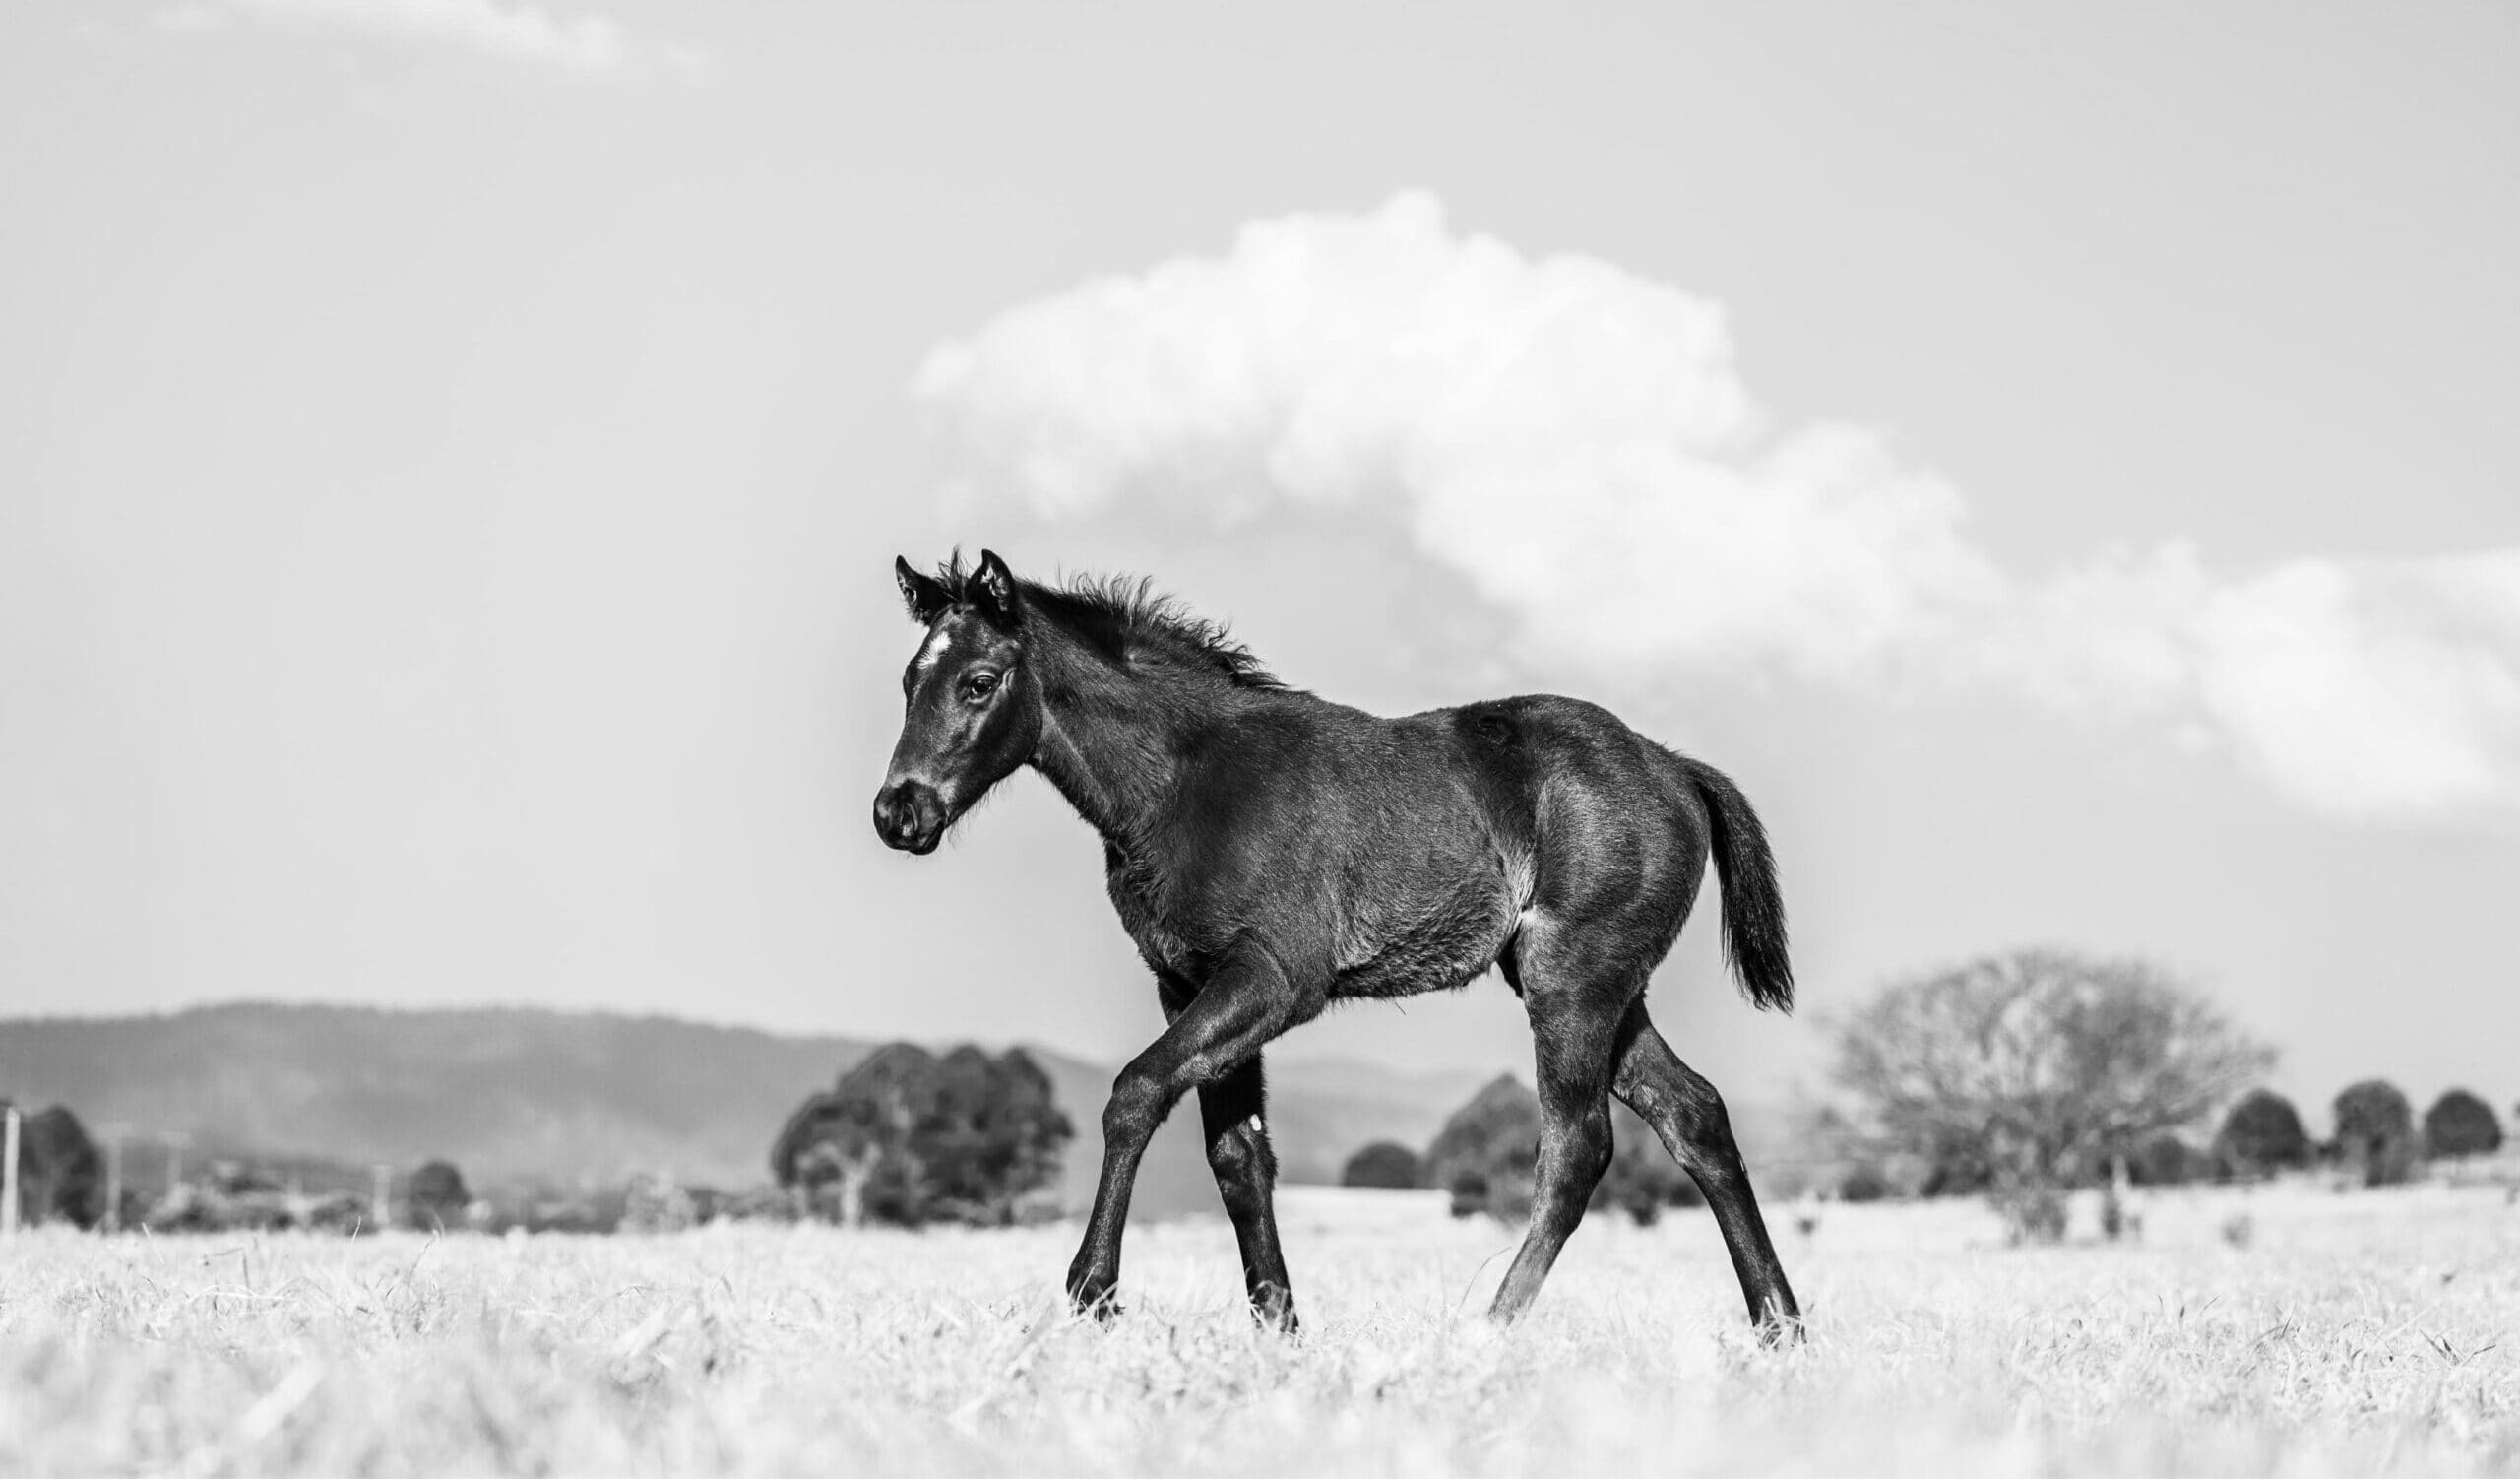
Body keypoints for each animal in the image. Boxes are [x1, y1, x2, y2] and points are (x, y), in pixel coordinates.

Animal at [873, 549, 1804, 1339]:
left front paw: (1092, 1293)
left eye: (980, 682)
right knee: (1695, 1115)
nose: (898, 813)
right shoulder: (1187, 983)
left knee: (1578, 1146)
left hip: (1570, 982)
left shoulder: (1275, 979)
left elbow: (1135, 1092)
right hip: (1608, 990)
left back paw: (1490, 1328)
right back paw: (1781, 1328)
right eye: (910, 679)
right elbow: (1238, 1153)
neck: (1189, 782)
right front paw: (1279, 1328)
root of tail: (1675, 766)